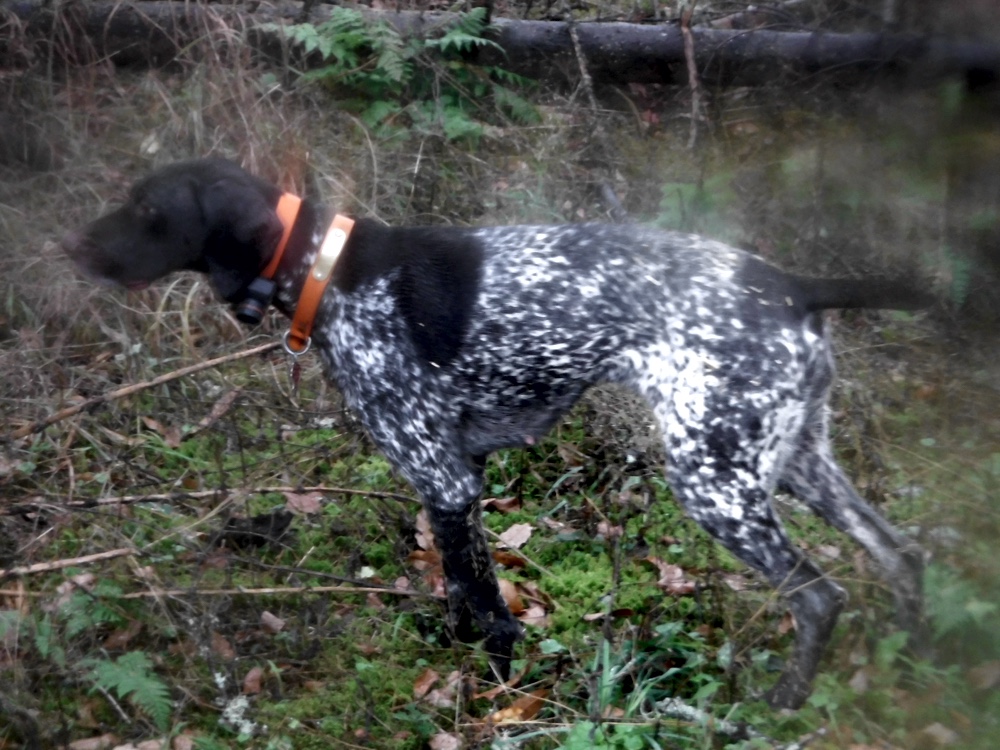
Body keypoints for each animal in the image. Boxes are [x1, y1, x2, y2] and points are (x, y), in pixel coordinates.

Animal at [62, 159, 924, 712]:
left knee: (820, 596)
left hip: (716, 481)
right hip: (797, 461)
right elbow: (459, 584)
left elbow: (483, 598)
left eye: (149, 211)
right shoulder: (456, 477)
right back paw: (910, 662)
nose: (70, 247)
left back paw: (782, 702)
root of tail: (793, 286)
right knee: (901, 554)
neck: (327, 271)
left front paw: (494, 684)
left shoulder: (443, 478)